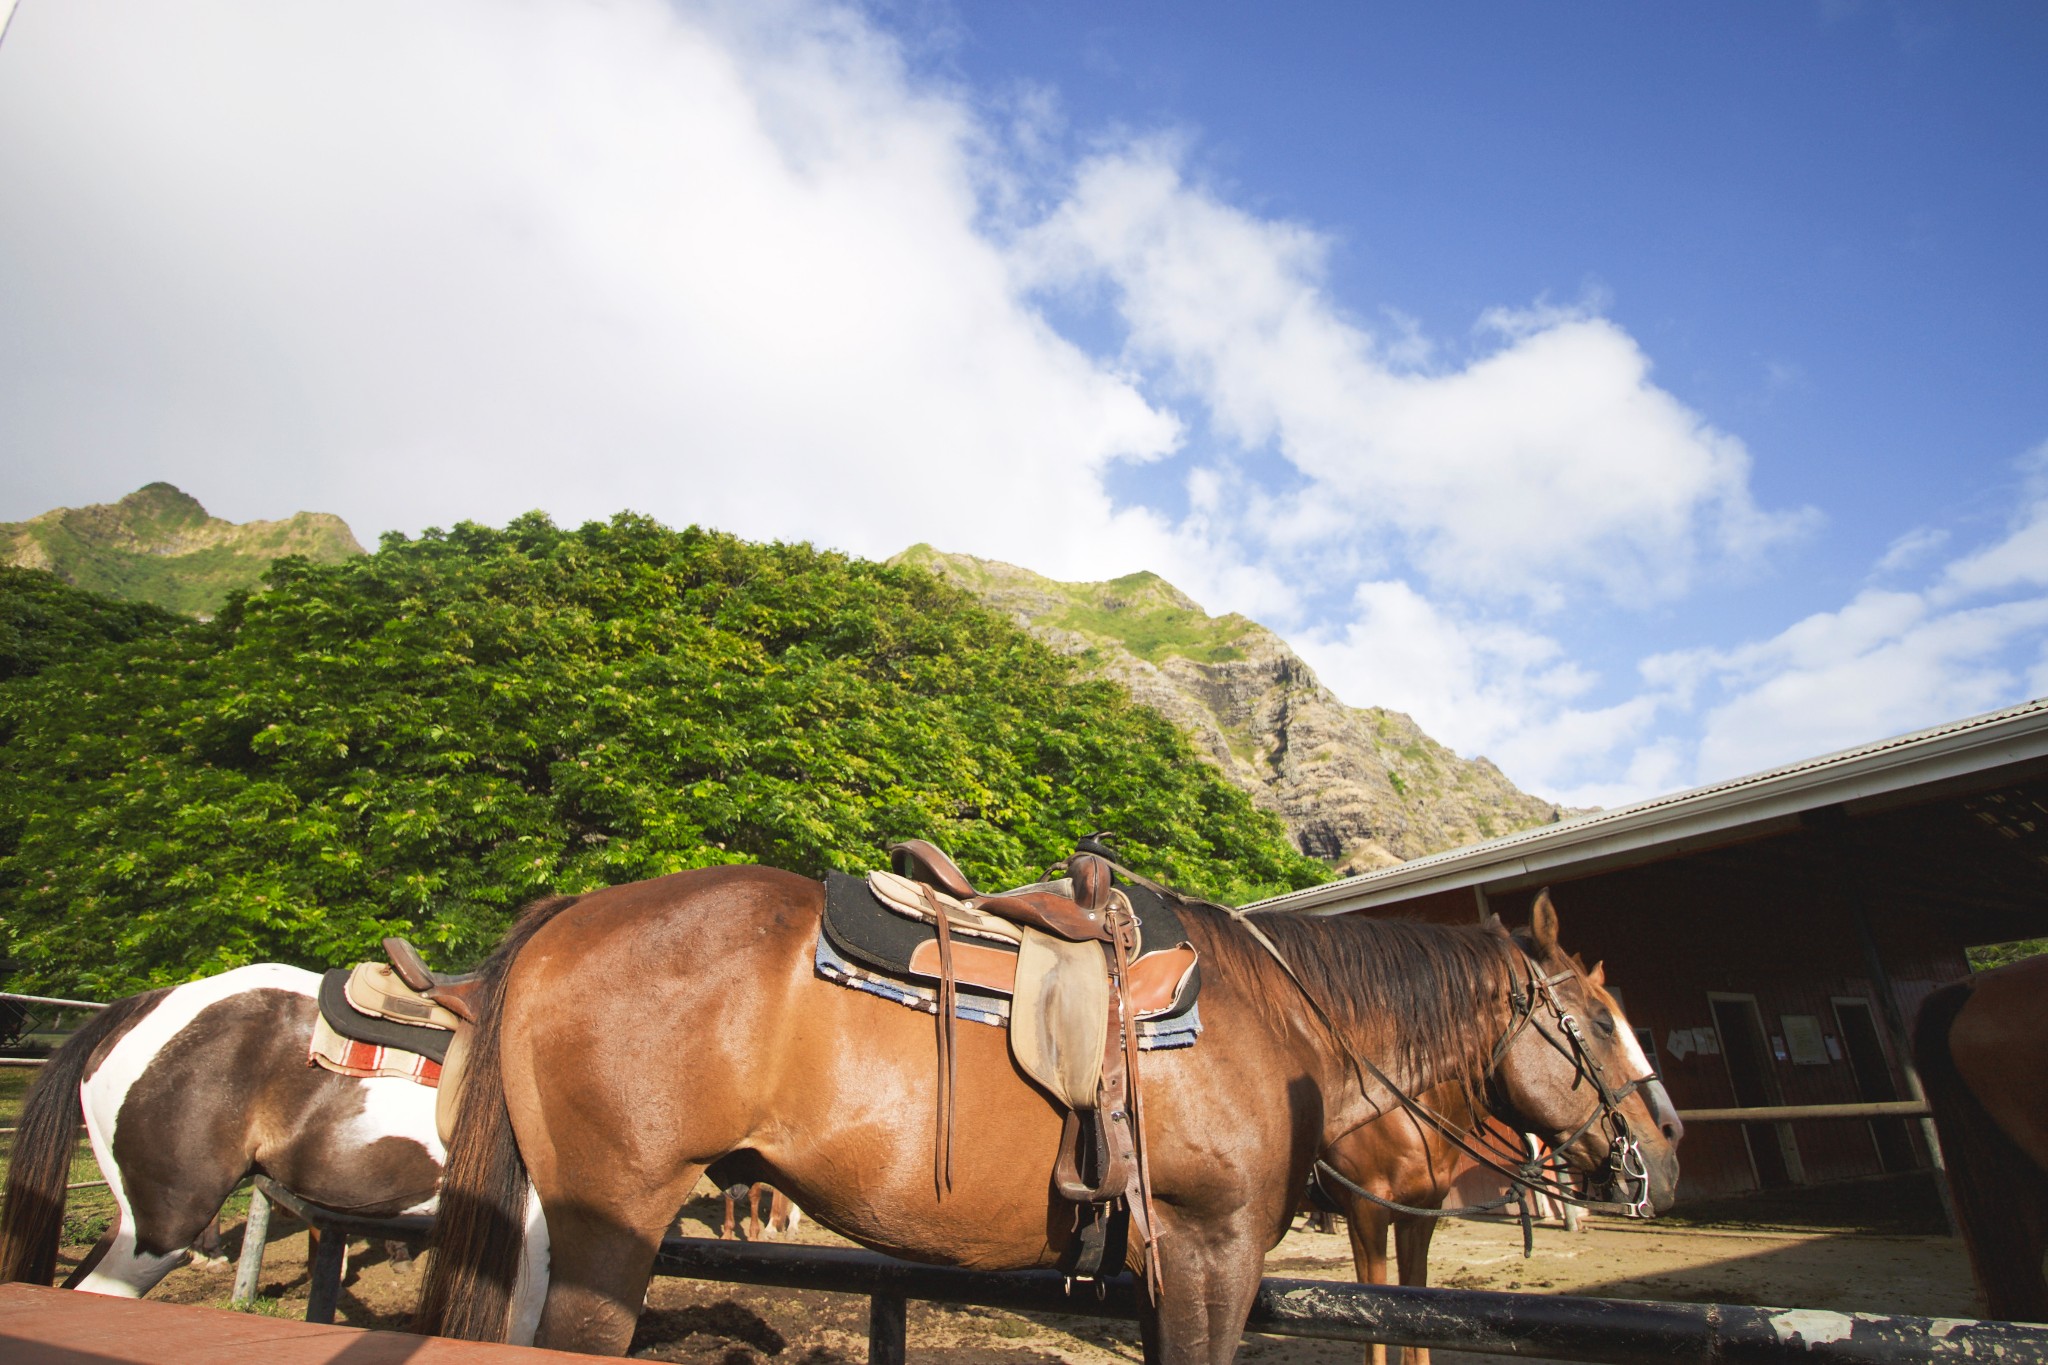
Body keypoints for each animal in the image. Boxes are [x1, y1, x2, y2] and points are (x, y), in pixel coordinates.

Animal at [415, 871, 1679, 1358]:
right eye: (1598, 1021)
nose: (1665, 1155)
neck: (1279, 1017)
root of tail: (569, 915)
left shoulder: (1169, 1265)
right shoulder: (1213, 1246)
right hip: (610, 1224)